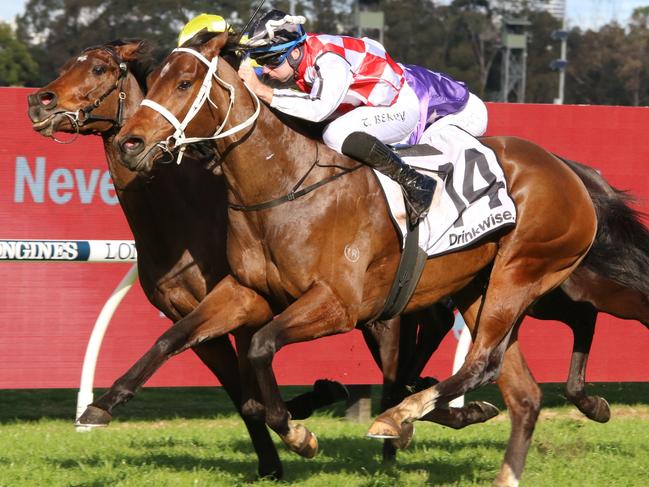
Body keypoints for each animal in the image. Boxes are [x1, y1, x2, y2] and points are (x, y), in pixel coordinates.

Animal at [110, 32, 596, 486]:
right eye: (153, 80)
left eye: (184, 82)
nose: (129, 142)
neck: (285, 187)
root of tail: (567, 171)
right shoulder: (245, 291)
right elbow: (175, 336)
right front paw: (107, 402)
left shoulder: (338, 304)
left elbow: (262, 346)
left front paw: (299, 435)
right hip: (480, 287)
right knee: (524, 392)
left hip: (519, 275)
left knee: (485, 360)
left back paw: (401, 415)